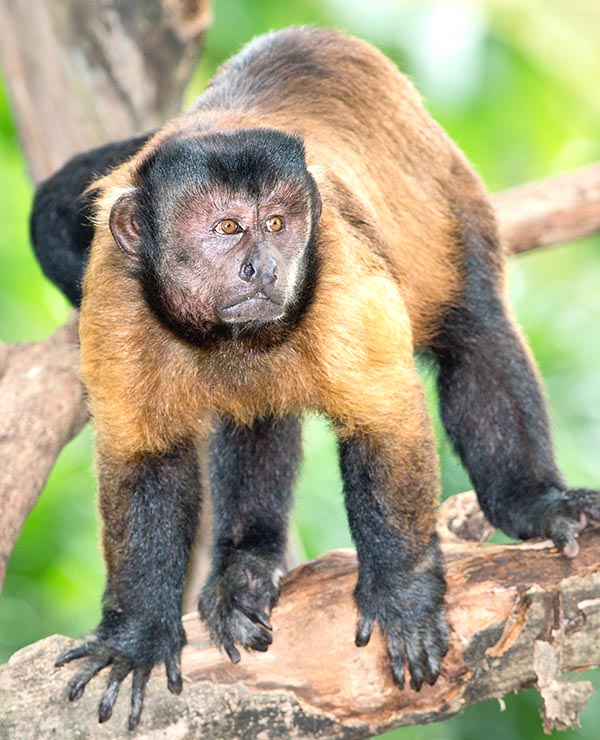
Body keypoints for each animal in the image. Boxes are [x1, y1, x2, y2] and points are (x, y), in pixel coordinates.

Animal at [29, 26, 600, 732]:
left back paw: (532, 500)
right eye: (226, 228)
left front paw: (402, 596)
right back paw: (247, 566)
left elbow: (387, 419)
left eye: (277, 224)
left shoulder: (339, 259)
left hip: (448, 186)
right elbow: (145, 458)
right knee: (256, 414)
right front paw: (137, 634)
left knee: (475, 332)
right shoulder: (114, 288)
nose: (264, 268)